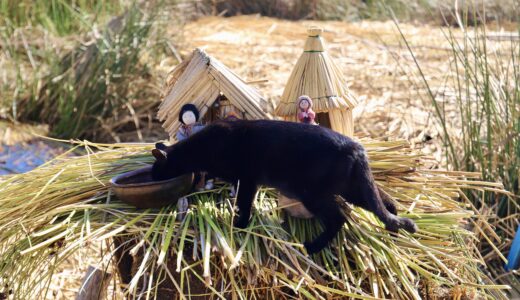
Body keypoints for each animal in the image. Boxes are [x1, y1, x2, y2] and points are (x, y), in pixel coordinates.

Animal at [151, 119, 418, 253]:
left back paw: (313, 246)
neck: (203, 148)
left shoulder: (247, 179)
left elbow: (244, 204)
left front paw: (239, 225)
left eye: (155, 171)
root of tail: (357, 148)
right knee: (387, 204)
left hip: (314, 193)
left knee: (339, 217)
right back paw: (393, 234)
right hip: (354, 189)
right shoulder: (246, 181)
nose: (153, 178)